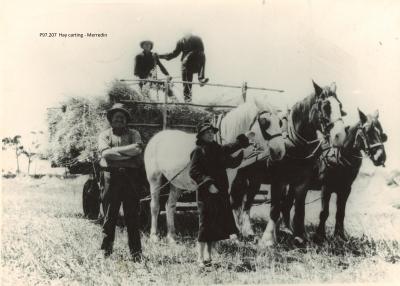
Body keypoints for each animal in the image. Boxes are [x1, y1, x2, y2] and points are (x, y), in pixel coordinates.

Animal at [144, 96, 288, 244]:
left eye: (280, 122)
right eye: (265, 122)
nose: (279, 152)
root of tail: (157, 137)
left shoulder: (227, 183)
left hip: (176, 182)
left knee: (170, 206)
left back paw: (172, 236)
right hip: (155, 179)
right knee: (155, 206)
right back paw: (154, 235)